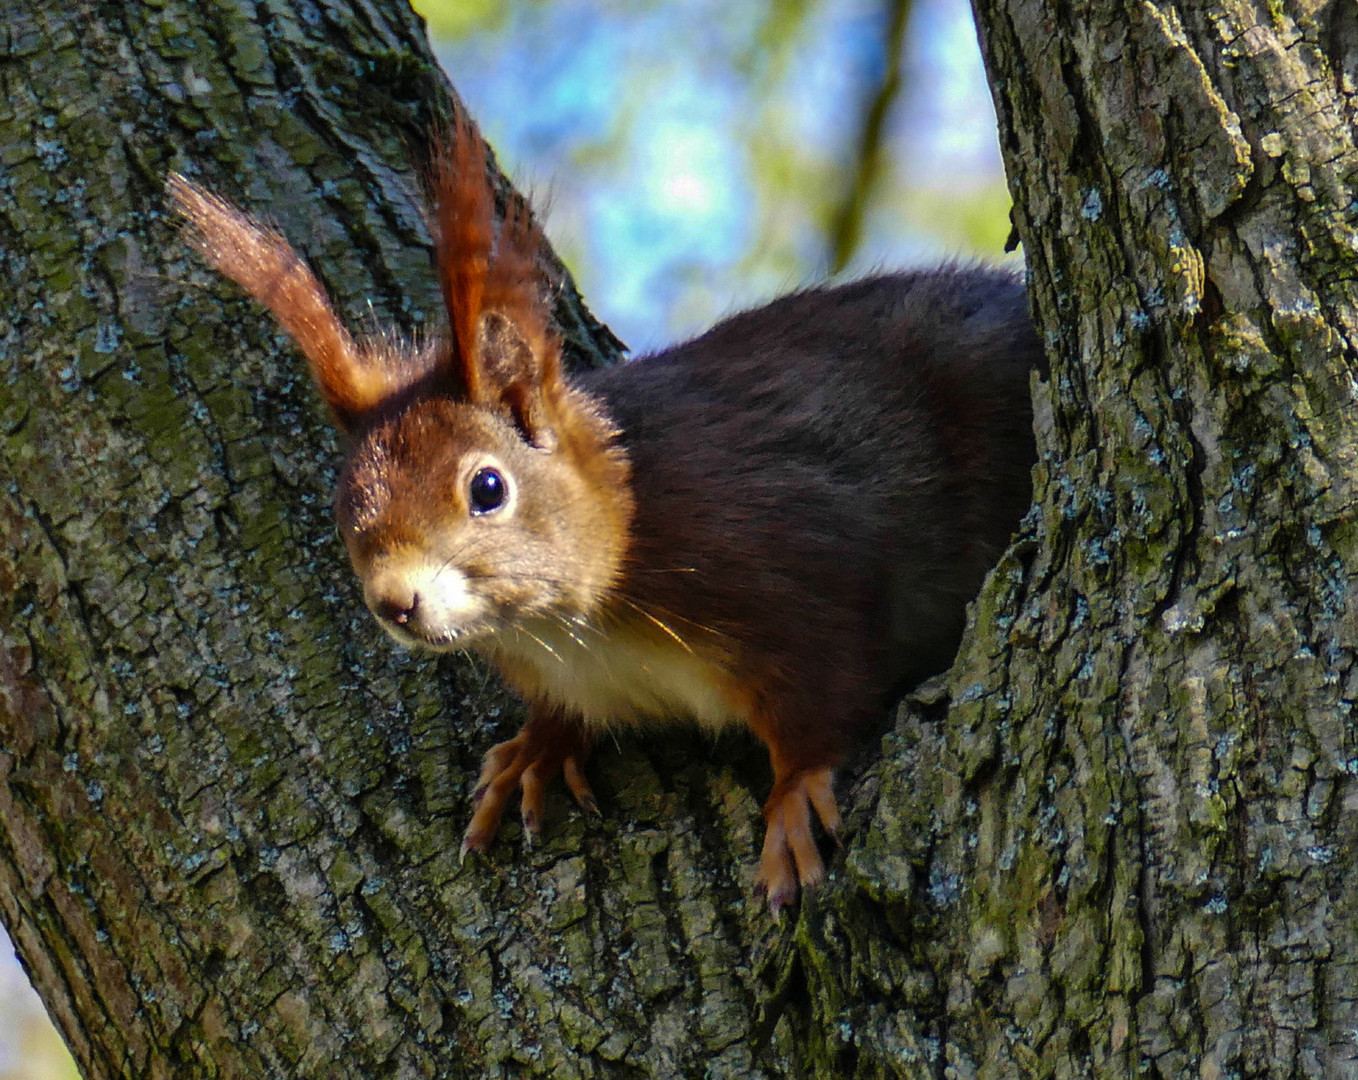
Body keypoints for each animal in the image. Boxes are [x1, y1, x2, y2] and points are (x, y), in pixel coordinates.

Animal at [169, 116, 1037, 912]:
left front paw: (793, 797)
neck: (568, 629)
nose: (395, 601)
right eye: (343, 506)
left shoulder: (785, 556)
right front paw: (538, 747)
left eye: (488, 488)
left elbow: (826, 688)